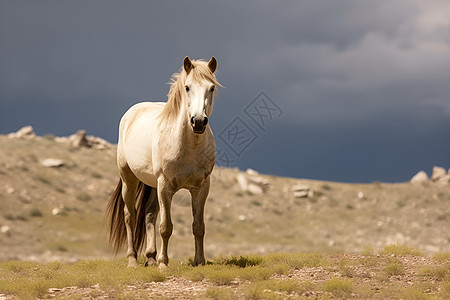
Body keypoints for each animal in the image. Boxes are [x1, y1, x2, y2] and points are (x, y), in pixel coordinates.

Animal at [109, 56, 221, 268]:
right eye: (187, 87)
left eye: (211, 88)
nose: (198, 122)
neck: (187, 146)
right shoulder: (165, 186)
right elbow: (166, 227)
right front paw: (163, 263)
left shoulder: (202, 186)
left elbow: (198, 226)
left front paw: (199, 261)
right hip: (129, 179)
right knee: (130, 215)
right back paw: (133, 260)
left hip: (152, 184)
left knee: (149, 214)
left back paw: (151, 257)